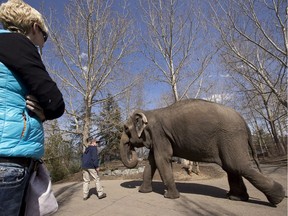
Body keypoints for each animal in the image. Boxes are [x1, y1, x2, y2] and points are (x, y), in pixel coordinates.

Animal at [120, 98, 286, 205]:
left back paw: (278, 198)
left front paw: (170, 197)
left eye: (125, 128)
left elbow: (162, 159)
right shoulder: (157, 139)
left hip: (231, 136)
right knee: (231, 167)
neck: (149, 112)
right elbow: (151, 162)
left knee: (238, 166)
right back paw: (235, 198)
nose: (131, 149)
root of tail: (245, 123)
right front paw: (143, 192)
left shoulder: (159, 135)